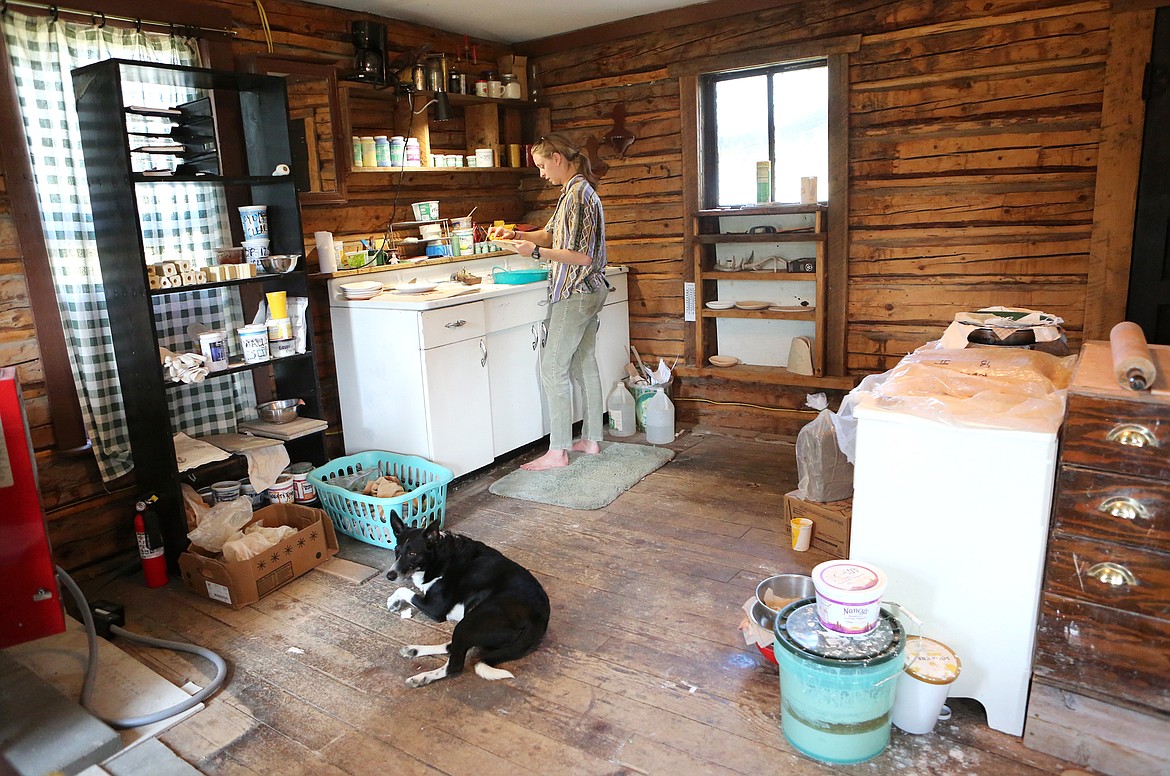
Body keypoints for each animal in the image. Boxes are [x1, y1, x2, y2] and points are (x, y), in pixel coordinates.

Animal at [383, 514, 547, 688]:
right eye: (396, 550)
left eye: (413, 554)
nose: (390, 575)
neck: (438, 556)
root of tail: (541, 618)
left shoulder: (435, 608)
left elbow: (403, 590)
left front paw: (392, 602)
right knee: (452, 646)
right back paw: (414, 650)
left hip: (471, 622)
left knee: (454, 664)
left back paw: (422, 677)